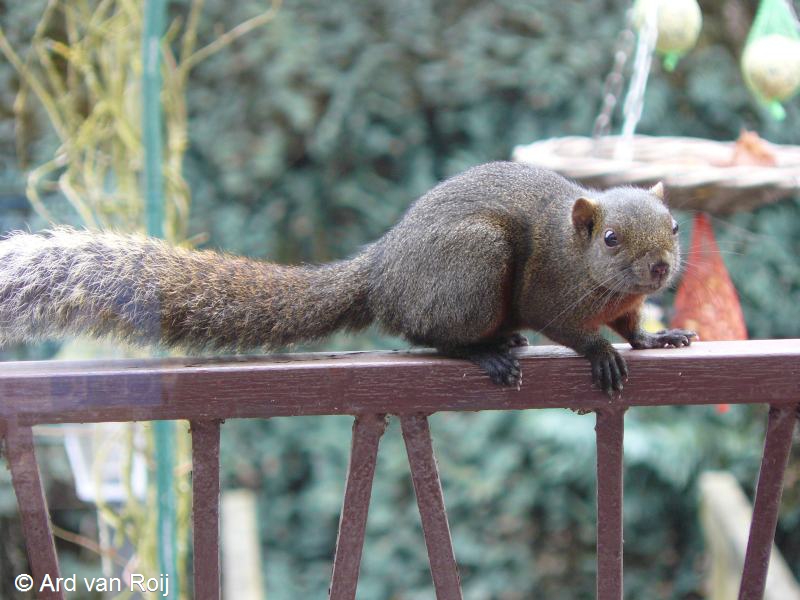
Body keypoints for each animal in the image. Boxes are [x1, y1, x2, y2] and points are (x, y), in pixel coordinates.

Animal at [0, 162, 692, 392]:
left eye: (675, 227)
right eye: (610, 239)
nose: (660, 267)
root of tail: (382, 270)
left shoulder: (625, 301)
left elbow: (634, 323)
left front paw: (655, 338)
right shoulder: (551, 291)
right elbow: (568, 328)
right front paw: (600, 353)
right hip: (474, 263)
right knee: (428, 336)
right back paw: (486, 351)